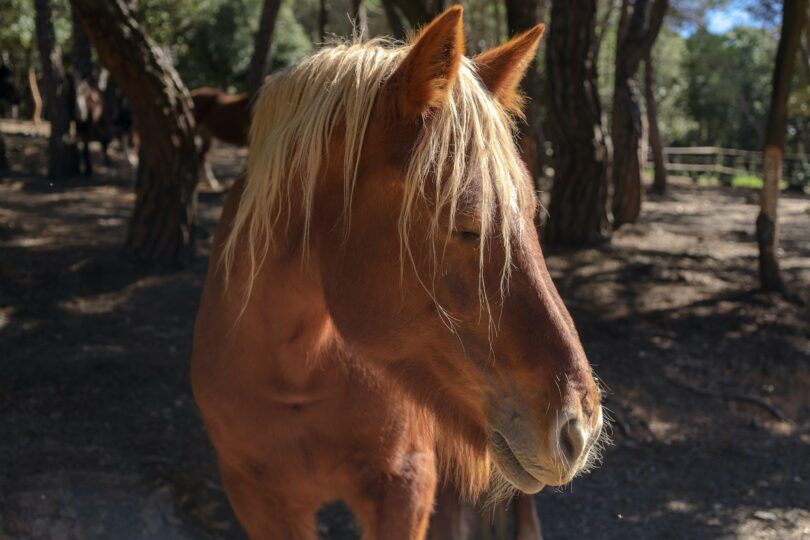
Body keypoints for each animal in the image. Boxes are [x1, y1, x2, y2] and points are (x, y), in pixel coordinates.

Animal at [193, 8, 604, 540]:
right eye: (465, 225)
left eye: (535, 216)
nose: (580, 428)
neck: (295, 378)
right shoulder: (259, 501)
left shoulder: (404, 485)